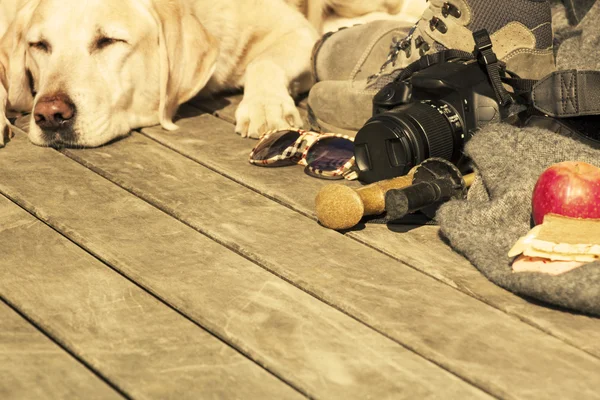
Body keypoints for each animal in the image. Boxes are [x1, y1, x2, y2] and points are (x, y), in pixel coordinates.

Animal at [0, 0, 318, 147]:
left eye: (109, 40)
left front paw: (266, 107)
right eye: (39, 45)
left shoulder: (298, 30)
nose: (50, 115)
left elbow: (263, 63)